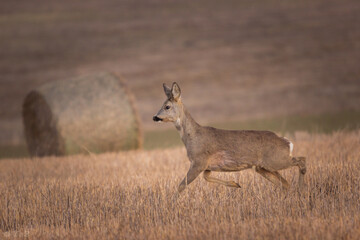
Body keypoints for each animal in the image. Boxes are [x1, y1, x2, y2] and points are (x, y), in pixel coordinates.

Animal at [153, 82, 306, 193]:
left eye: (167, 106)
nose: (155, 117)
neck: (192, 137)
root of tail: (287, 142)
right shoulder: (207, 165)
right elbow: (206, 177)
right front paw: (235, 184)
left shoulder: (199, 161)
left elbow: (181, 185)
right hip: (263, 167)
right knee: (285, 183)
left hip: (275, 160)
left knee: (301, 160)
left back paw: (301, 190)